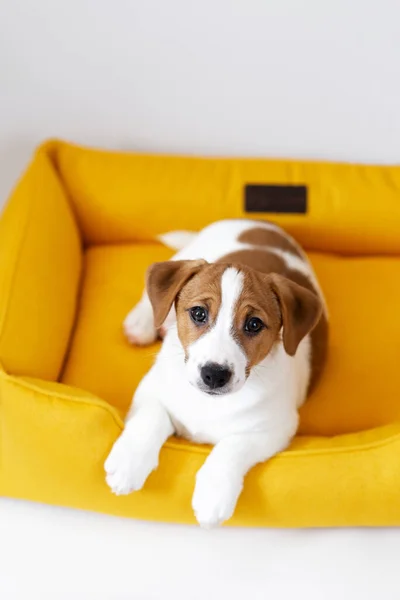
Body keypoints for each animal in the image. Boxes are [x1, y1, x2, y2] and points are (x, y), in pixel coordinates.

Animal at [104, 219, 326, 524]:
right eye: (198, 313)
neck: (209, 403)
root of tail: (259, 223)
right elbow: (152, 418)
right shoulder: (150, 389)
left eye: (254, 324)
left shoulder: (276, 429)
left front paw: (213, 495)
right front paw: (129, 462)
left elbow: (232, 447)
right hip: (187, 255)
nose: (214, 375)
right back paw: (142, 323)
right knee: (152, 301)